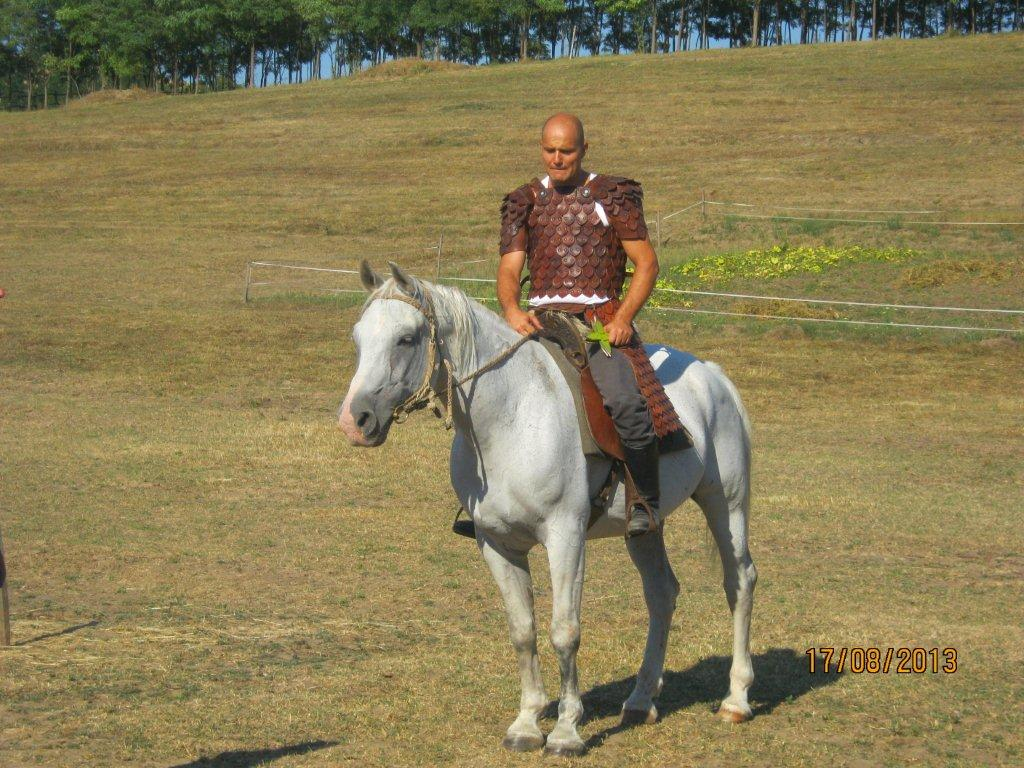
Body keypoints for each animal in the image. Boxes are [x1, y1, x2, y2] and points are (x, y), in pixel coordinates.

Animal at [339, 264, 757, 757]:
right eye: (358, 338)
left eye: (406, 338)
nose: (355, 421)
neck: (512, 416)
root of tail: (714, 377)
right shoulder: (496, 544)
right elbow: (523, 630)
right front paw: (526, 722)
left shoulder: (566, 538)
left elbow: (564, 631)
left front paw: (565, 731)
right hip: (645, 526)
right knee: (661, 593)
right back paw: (640, 700)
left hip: (726, 503)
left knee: (739, 581)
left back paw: (736, 699)